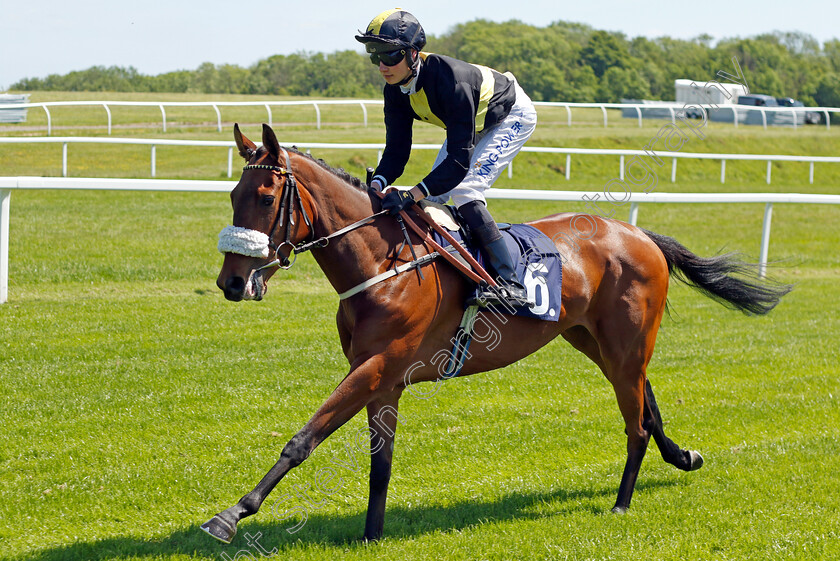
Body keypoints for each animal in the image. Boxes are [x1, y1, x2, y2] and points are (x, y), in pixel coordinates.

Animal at [202, 123, 788, 544]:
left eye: (265, 196)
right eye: (232, 193)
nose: (231, 282)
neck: (385, 264)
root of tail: (638, 233)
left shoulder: (376, 366)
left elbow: (304, 438)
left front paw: (231, 515)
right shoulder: (382, 379)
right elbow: (380, 463)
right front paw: (371, 534)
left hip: (625, 340)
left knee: (636, 420)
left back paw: (622, 501)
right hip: (593, 339)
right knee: (647, 396)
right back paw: (682, 455)